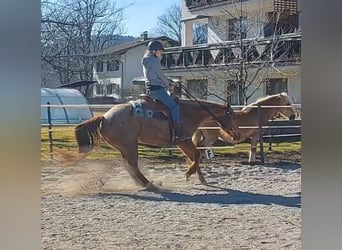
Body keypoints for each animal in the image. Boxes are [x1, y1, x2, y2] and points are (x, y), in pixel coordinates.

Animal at [60, 96, 239, 189]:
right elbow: (196, 155)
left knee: (129, 166)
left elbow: (195, 156)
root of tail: (104, 117)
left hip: (125, 147)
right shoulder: (184, 140)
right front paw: (189, 174)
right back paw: (149, 184)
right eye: (232, 115)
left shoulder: (183, 142)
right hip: (130, 146)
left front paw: (201, 179)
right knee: (132, 165)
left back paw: (142, 183)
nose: (236, 135)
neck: (188, 112)